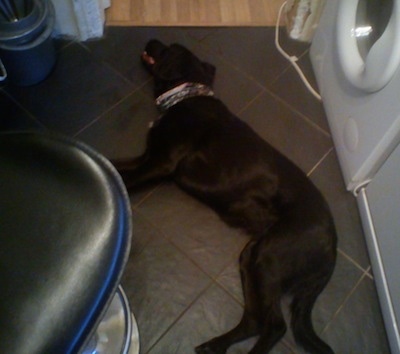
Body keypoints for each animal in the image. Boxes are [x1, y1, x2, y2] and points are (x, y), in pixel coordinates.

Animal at [115, 40, 338, 352]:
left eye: (168, 47)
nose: (150, 41)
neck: (186, 96)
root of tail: (333, 244)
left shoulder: (160, 163)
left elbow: (125, 179)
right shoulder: (146, 158)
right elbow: (114, 164)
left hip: (269, 259)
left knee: (275, 326)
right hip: (251, 257)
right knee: (254, 321)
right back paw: (215, 345)